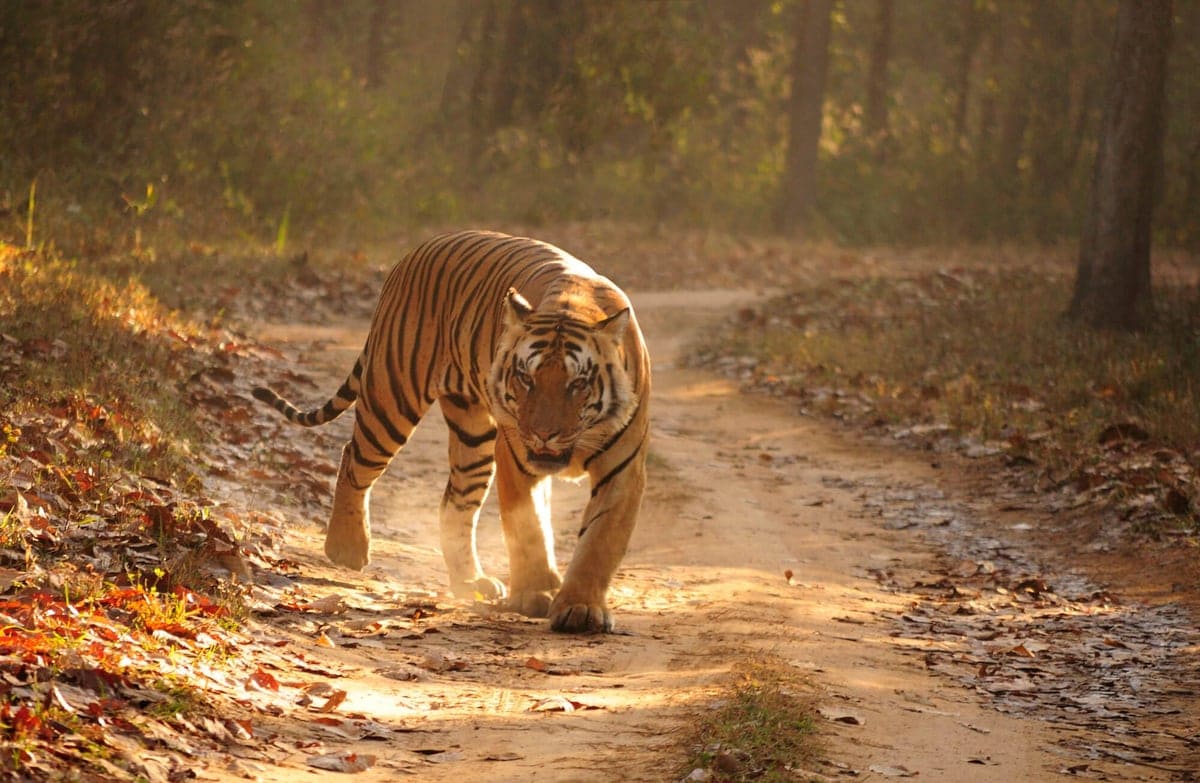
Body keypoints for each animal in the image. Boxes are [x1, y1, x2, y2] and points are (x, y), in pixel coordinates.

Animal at [248, 229, 652, 634]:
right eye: (526, 378)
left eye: (577, 384)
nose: (543, 434)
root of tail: (418, 249)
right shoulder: (516, 457)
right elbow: (528, 528)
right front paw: (534, 594)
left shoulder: (623, 468)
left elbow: (600, 540)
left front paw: (580, 607)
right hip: (392, 395)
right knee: (354, 459)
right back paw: (347, 548)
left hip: (472, 437)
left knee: (454, 504)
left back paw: (470, 581)